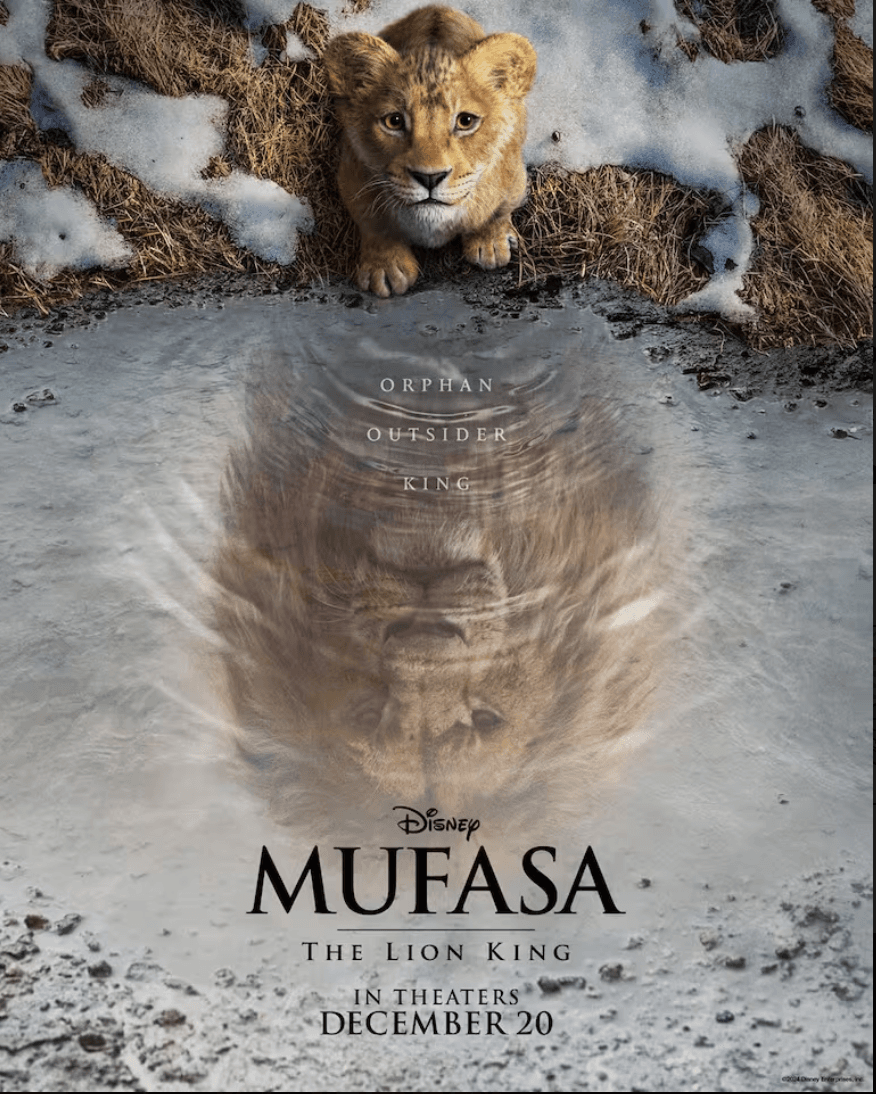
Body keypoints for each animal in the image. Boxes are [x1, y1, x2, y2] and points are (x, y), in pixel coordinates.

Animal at [322, 5, 537, 297]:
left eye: (465, 121)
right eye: (394, 121)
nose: (429, 177)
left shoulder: (514, 176)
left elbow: (498, 211)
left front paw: (490, 243)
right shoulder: (351, 176)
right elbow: (374, 224)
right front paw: (385, 268)